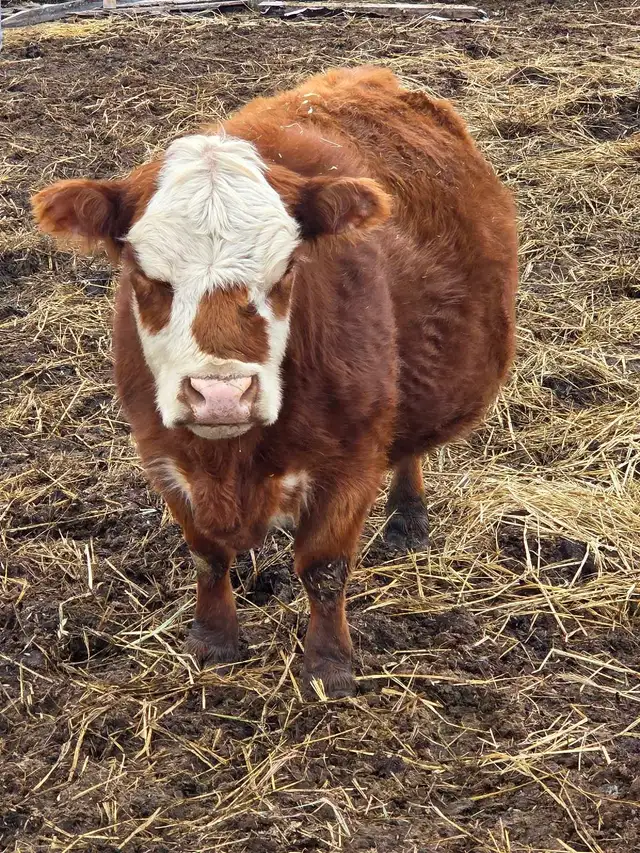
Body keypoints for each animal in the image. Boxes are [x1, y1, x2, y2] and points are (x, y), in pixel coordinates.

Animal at [32, 67, 518, 698]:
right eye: (144, 275)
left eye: (286, 269)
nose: (219, 395)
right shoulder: (164, 453)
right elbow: (208, 555)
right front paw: (214, 639)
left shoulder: (351, 459)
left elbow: (325, 569)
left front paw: (329, 664)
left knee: (409, 447)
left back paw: (408, 517)